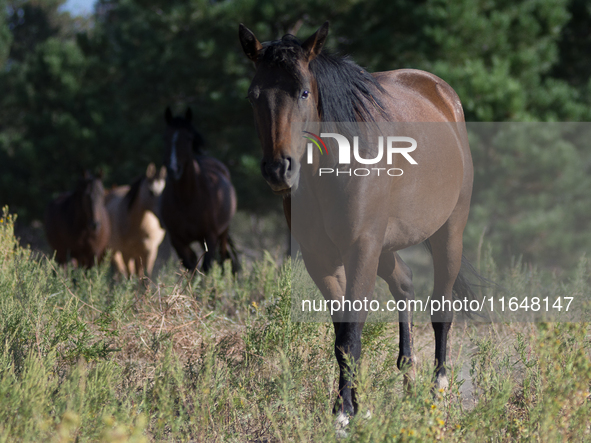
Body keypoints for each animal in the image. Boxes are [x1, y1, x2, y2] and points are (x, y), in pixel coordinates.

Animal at [161, 107, 239, 274]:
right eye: (165, 137)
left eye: (189, 138)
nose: (173, 168)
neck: (186, 199)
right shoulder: (177, 241)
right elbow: (191, 266)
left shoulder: (210, 236)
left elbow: (206, 267)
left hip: (223, 233)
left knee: (222, 258)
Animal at [239, 22, 476, 422]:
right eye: (253, 96)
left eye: (303, 92)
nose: (278, 170)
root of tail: (442, 95)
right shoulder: (322, 258)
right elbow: (341, 337)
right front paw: (351, 406)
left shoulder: (361, 248)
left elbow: (351, 334)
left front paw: (344, 414)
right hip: (387, 246)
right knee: (404, 283)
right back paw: (408, 379)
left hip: (449, 233)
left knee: (441, 310)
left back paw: (437, 394)